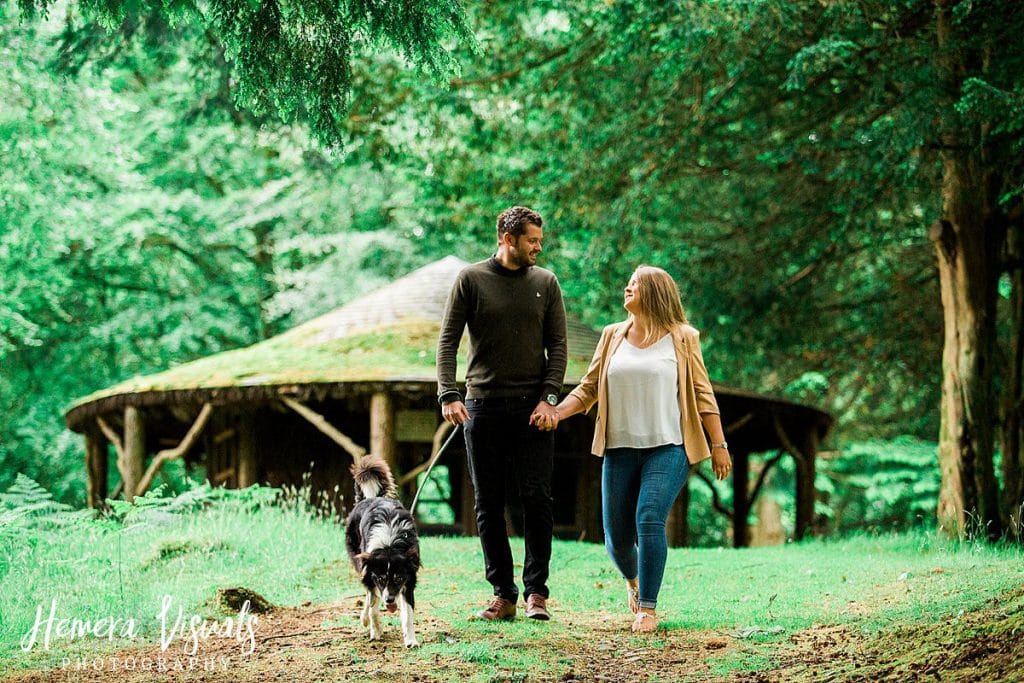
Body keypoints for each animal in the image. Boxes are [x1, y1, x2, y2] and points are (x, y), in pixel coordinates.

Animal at [348, 456, 419, 651]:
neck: (389, 544)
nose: (389, 600)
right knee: (368, 593)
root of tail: (370, 498)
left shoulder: (409, 579)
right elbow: (373, 606)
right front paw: (375, 631)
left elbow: (408, 614)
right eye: (381, 578)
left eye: (398, 578)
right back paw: (365, 619)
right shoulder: (371, 574)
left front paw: (411, 640)